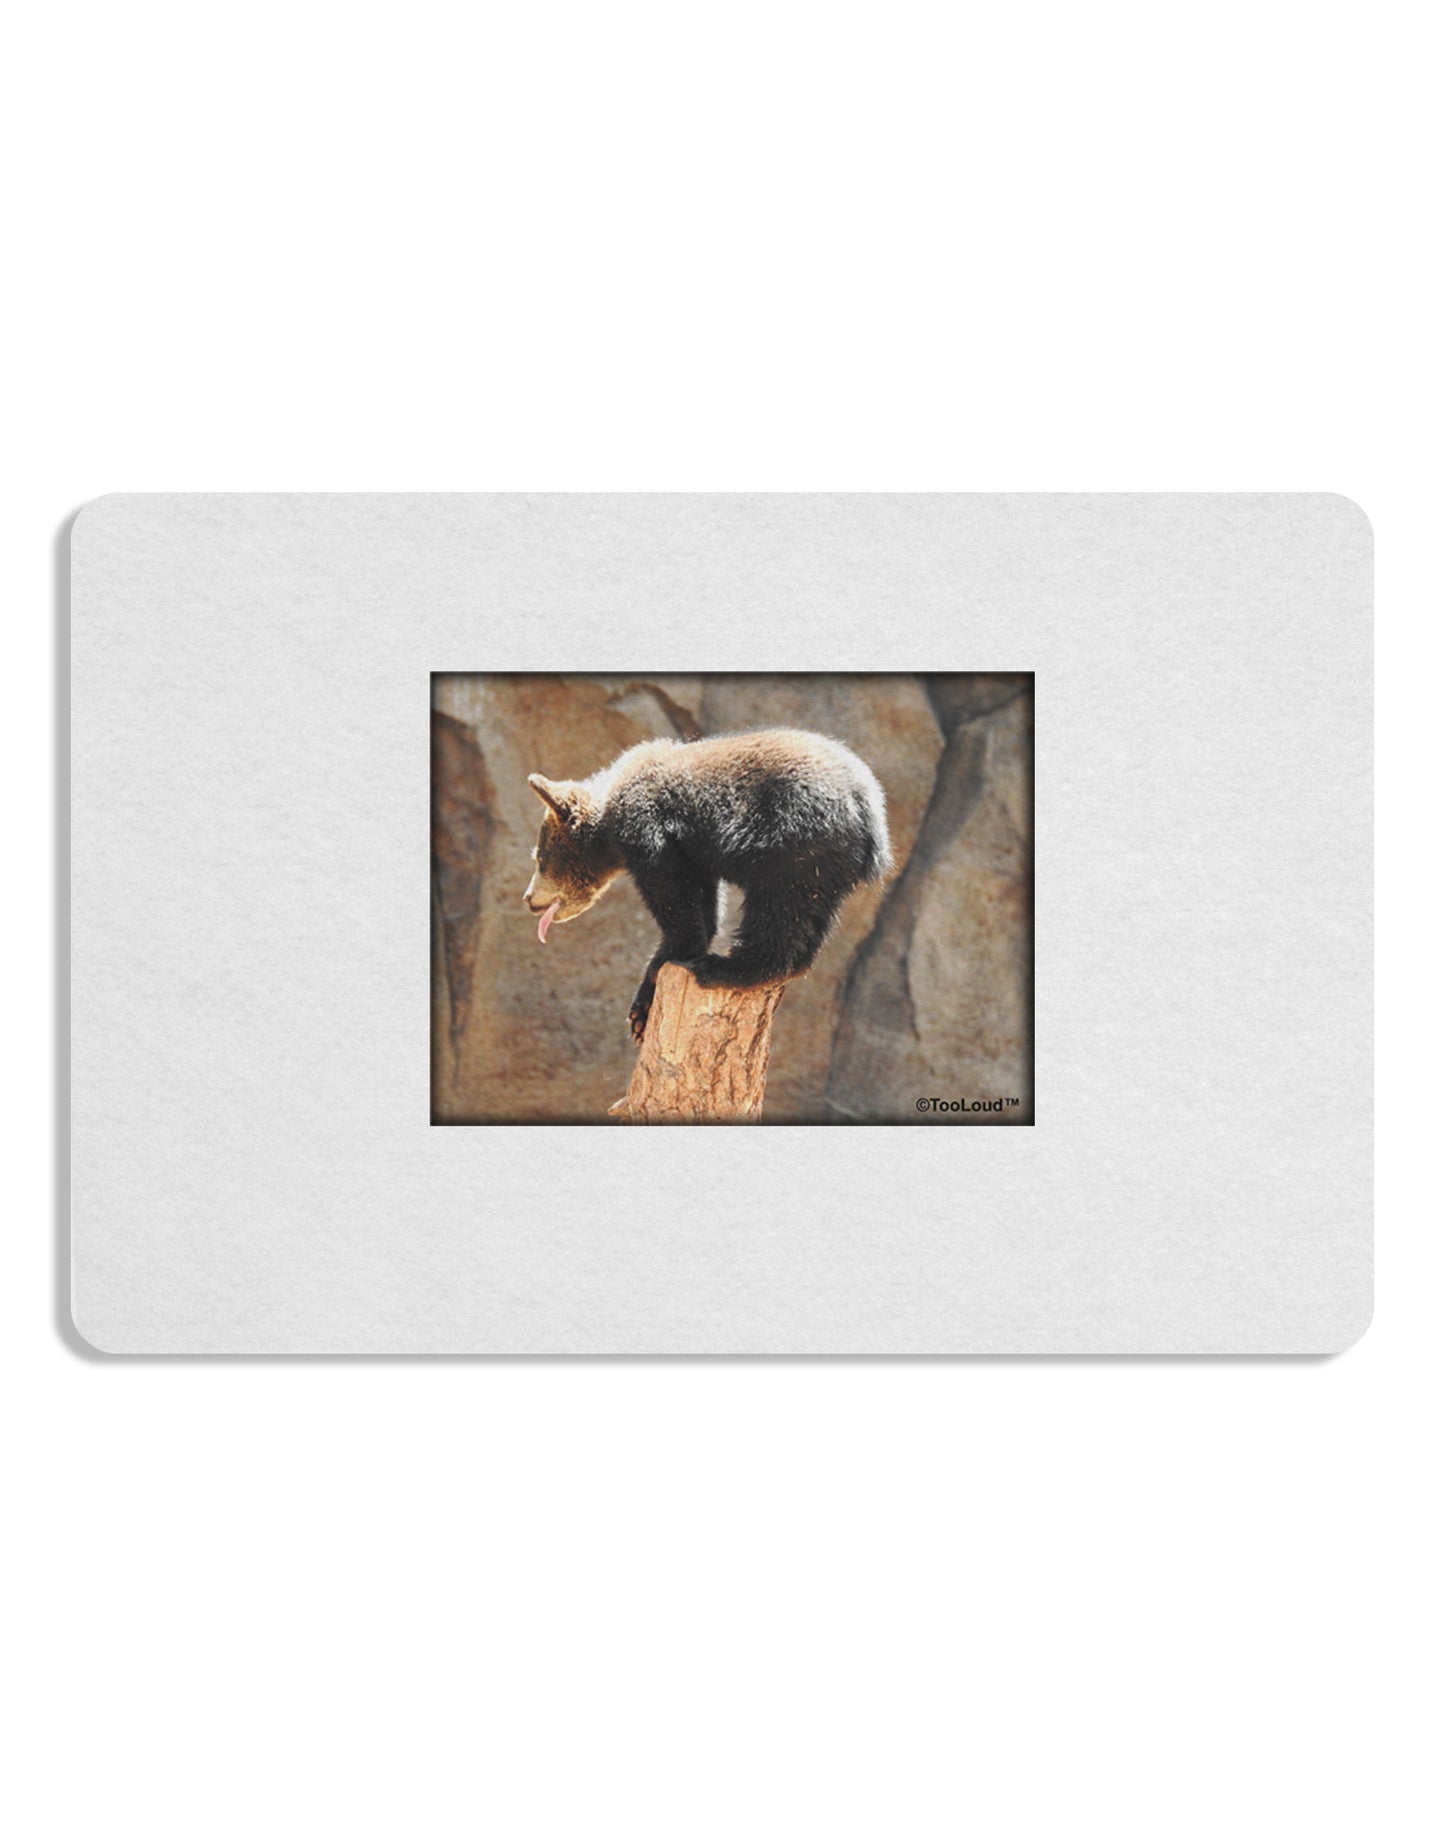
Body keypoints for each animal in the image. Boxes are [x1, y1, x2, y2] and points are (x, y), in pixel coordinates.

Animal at [522, 728, 893, 1043]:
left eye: (539, 858)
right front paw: (643, 1010)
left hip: (793, 845)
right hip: (825, 869)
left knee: (777, 912)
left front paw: (654, 980)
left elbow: (673, 896)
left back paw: (724, 968)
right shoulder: (694, 854)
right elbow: (703, 901)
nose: (528, 899)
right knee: (811, 916)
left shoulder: (650, 828)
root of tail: (869, 811)